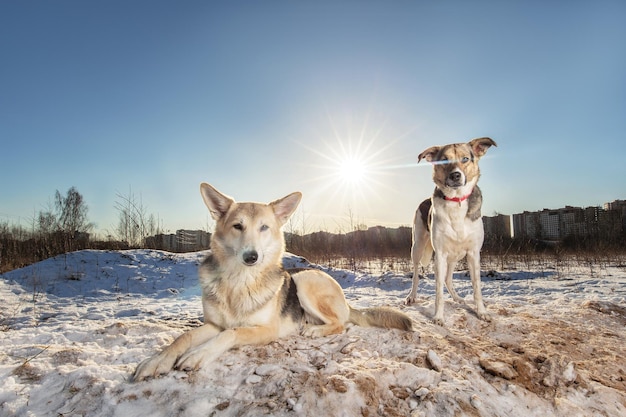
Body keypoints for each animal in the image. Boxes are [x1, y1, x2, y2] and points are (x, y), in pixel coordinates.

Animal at [404, 136, 498, 324]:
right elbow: (438, 291)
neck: (456, 201)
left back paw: (457, 298)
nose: (455, 175)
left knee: (448, 278)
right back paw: (412, 296)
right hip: (417, 247)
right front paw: (438, 317)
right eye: (444, 160)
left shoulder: (473, 254)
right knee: (417, 274)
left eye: (465, 159)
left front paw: (481, 312)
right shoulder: (440, 255)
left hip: (456, 256)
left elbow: (477, 287)